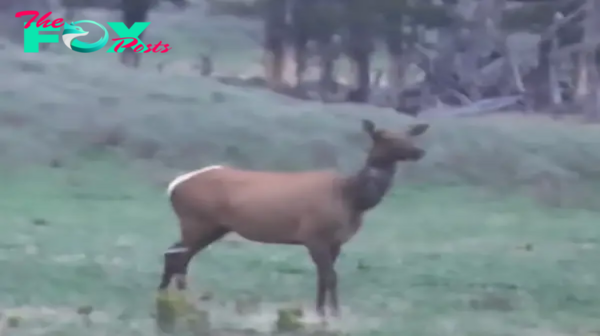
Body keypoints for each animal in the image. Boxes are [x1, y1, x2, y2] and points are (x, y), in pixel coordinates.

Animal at [157, 119, 428, 318]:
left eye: (409, 134)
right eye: (383, 136)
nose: (419, 151)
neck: (351, 198)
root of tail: (173, 186)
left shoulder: (335, 241)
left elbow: (323, 277)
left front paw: (321, 312)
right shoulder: (314, 235)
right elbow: (330, 277)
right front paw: (335, 314)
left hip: (213, 226)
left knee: (177, 254)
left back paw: (170, 298)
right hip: (196, 220)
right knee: (178, 255)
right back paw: (174, 300)